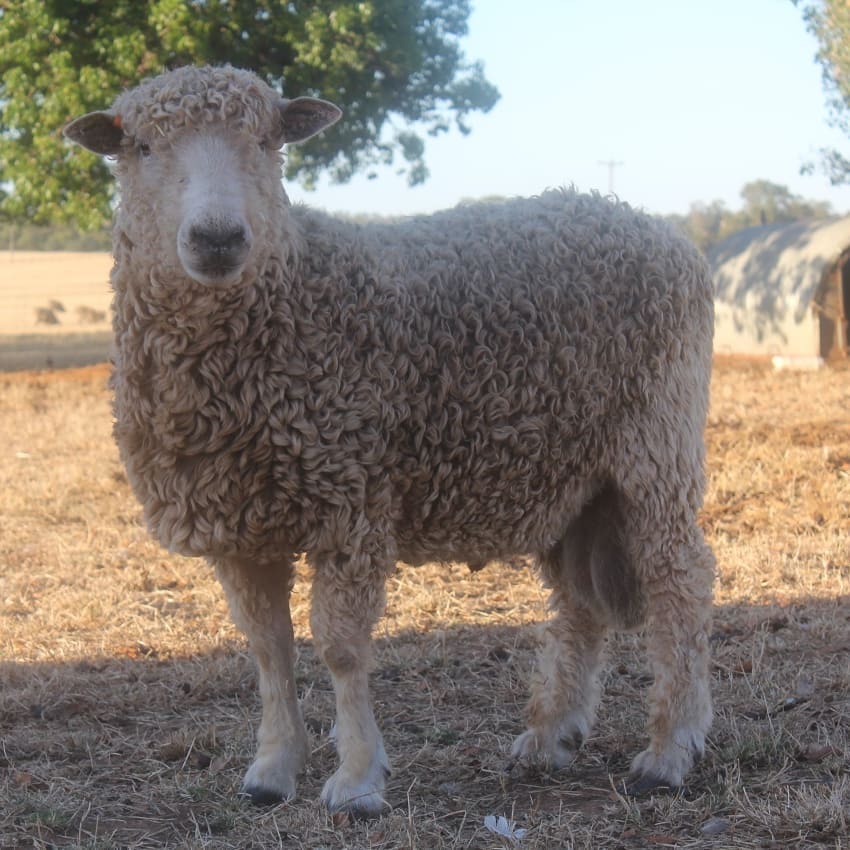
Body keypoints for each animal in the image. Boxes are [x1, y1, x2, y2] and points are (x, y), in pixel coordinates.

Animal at [64, 64, 716, 817]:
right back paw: (552, 736)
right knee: (580, 604)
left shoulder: (350, 499)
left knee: (679, 582)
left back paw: (668, 752)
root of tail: (651, 226)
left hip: (656, 442)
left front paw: (355, 780)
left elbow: (341, 649)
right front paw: (271, 770)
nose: (218, 238)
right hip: (570, 478)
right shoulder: (241, 523)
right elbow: (269, 648)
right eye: (139, 147)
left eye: (266, 142)